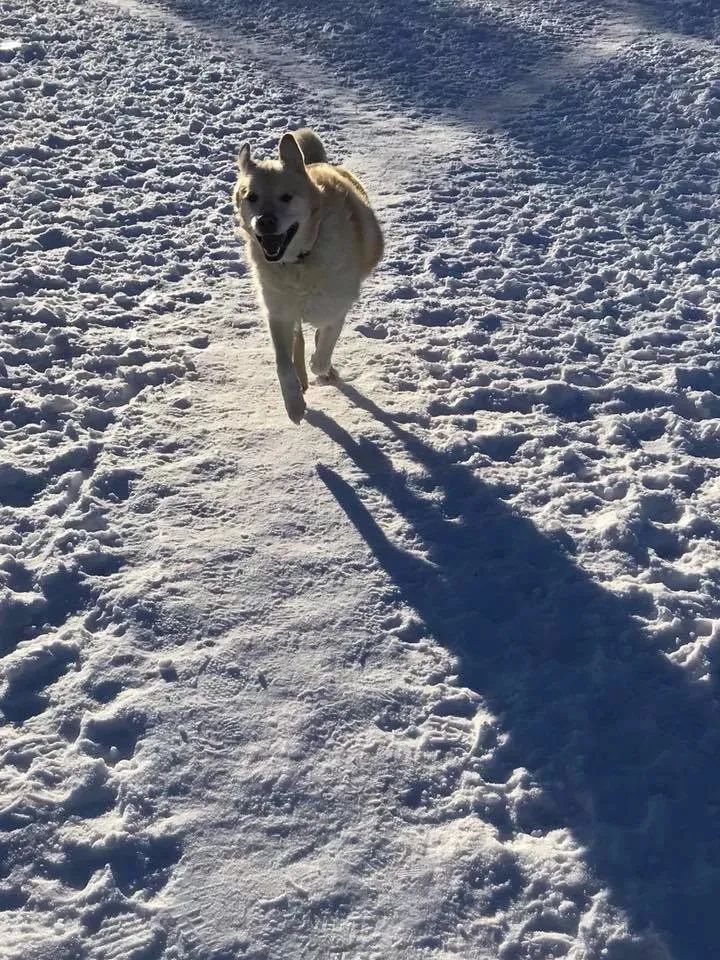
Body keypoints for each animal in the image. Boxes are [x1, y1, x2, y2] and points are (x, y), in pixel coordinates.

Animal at [235, 129, 386, 422]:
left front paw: (324, 370)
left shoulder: (334, 307)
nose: (265, 221)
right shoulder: (278, 312)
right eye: (252, 197)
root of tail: (314, 162)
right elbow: (283, 364)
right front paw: (294, 404)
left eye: (286, 197)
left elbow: (323, 350)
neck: (299, 261)